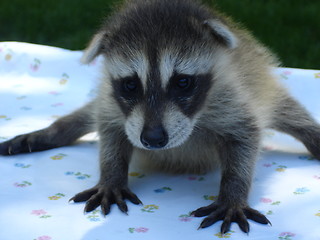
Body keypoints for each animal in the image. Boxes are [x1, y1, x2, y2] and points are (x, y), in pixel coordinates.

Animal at [0, 0, 320, 234]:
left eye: (182, 82)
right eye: (131, 85)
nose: (153, 139)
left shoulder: (234, 94)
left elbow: (245, 137)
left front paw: (232, 192)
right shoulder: (114, 103)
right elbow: (111, 132)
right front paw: (112, 174)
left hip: (265, 86)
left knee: (292, 113)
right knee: (85, 115)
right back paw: (52, 132)